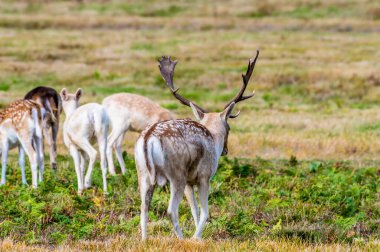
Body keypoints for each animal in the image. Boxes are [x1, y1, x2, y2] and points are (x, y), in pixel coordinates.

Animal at [135, 49, 260, 240]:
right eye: (229, 127)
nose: (225, 150)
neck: (213, 138)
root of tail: (149, 138)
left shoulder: (189, 181)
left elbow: (195, 210)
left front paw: (197, 236)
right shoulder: (204, 176)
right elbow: (205, 212)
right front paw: (196, 237)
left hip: (142, 173)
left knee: (143, 208)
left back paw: (144, 240)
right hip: (176, 174)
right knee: (171, 210)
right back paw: (181, 239)